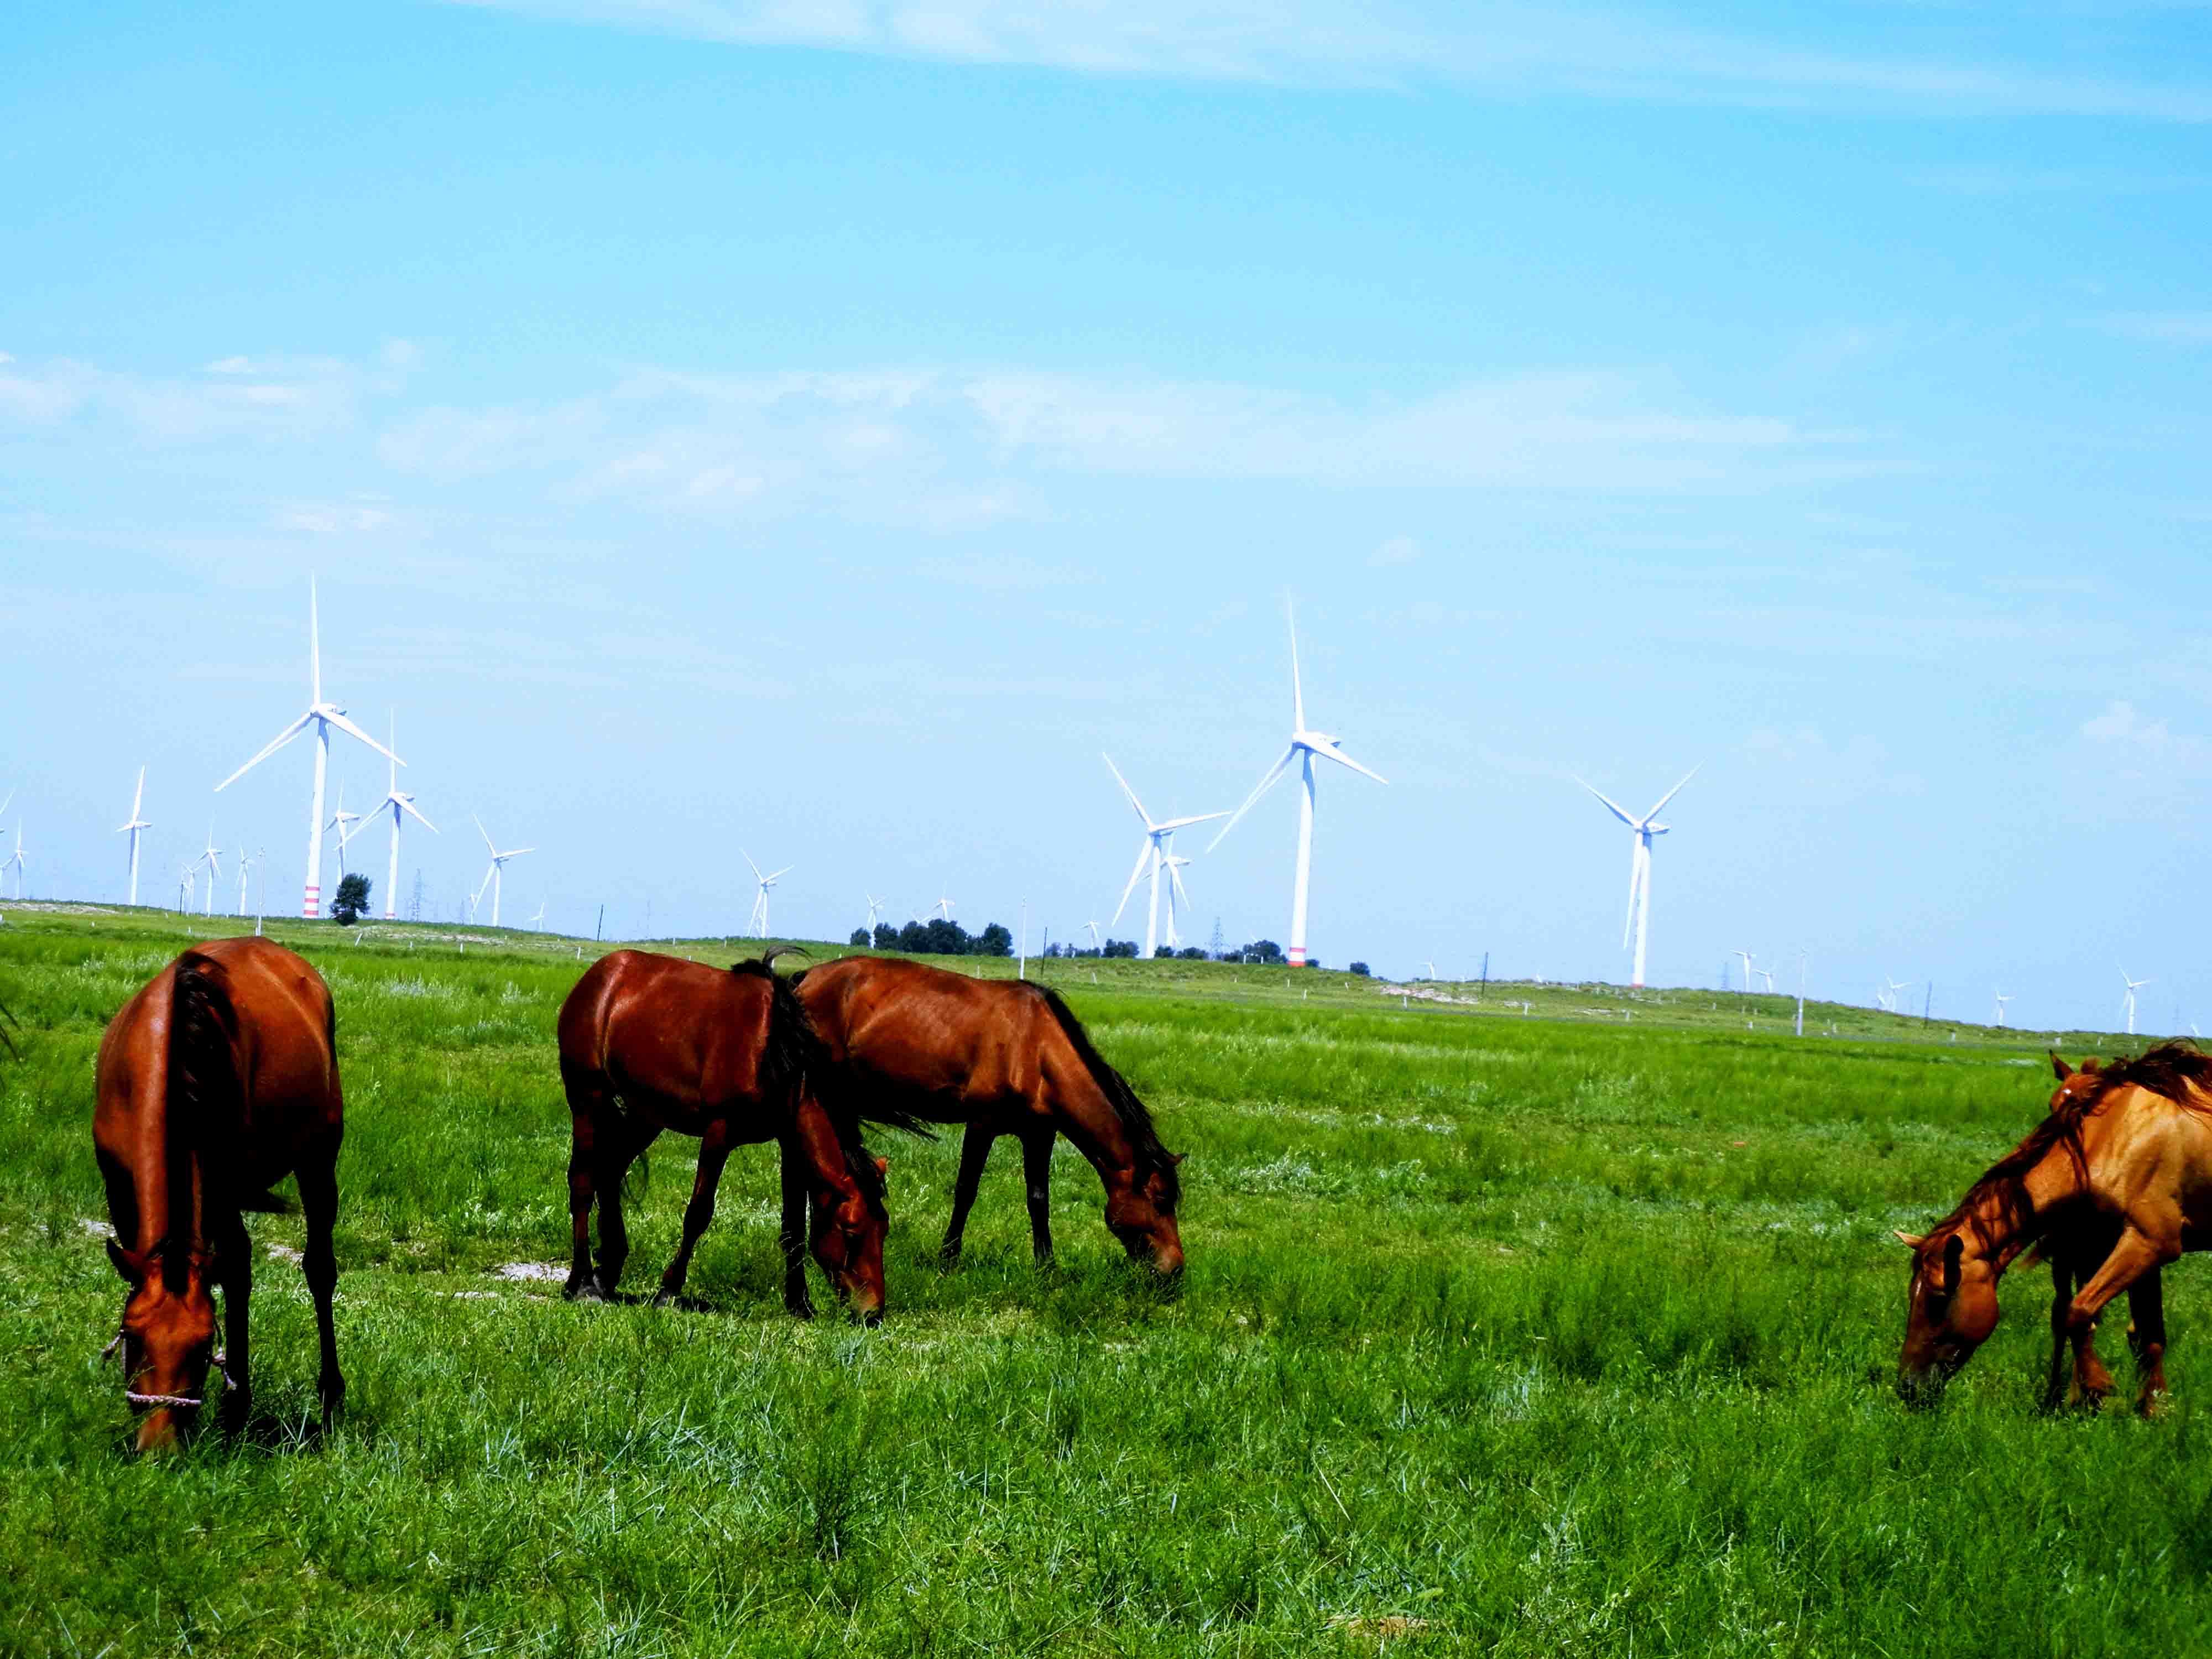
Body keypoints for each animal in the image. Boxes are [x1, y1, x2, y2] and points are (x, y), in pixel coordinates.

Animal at [94, 942, 345, 1460]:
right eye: (133, 1335)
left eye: (206, 1343)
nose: (159, 1447)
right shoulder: (117, 1187)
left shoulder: (223, 1185)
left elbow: (235, 1275)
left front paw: (234, 1408)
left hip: (318, 1157)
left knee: (316, 1269)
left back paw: (324, 1397)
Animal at [566, 956, 920, 1336]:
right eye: (850, 1231)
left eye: (883, 1229)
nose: (873, 1313)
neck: (775, 1052)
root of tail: (602, 973)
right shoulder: (719, 1133)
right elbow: (698, 1214)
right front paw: (669, 1291)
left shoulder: (790, 1144)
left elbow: (793, 1229)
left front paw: (800, 1304)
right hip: (587, 1097)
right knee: (583, 1182)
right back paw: (581, 1282)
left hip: (646, 1114)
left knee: (610, 1171)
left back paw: (607, 1272)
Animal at [787, 956, 1186, 1283]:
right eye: (1161, 1200)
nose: (1176, 1270)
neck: (1036, 1048)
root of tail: (805, 978)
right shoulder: (982, 1124)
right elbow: (966, 1191)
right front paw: (948, 1259)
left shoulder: (1040, 1133)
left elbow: (1039, 1199)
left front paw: (1047, 1267)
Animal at [1893, 1053, 2212, 1416]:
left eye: (1939, 1298)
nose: (1907, 1387)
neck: (2118, 1137)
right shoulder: (2135, 1251)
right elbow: (2148, 1336)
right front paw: (2152, 1409)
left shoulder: (2148, 1244)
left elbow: (2079, 1312)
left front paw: (2098, 1389)